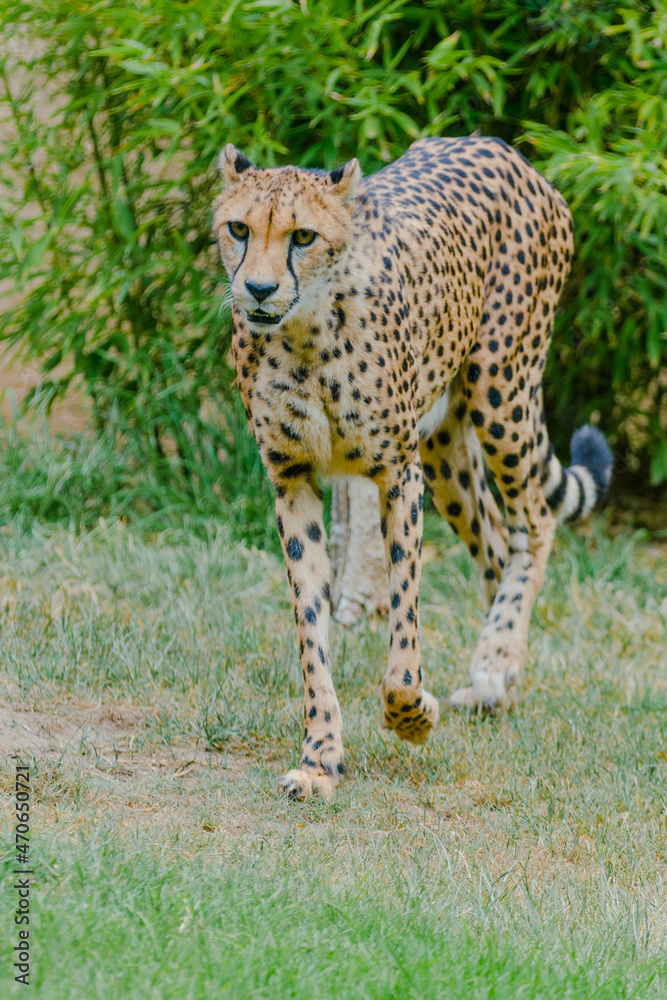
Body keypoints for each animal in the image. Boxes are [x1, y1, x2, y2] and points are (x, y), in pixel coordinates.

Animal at [212, 135, 612, 800]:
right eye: (238, 228)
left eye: (302, 236)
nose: (259, 290)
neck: (305, 338)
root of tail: (500, 148)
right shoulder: (291, 480)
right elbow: (311, 631)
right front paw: (320, 757)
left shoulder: (398, 472)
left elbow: (402, 624)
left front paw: (413, 715)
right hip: (446, 445)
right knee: (496, 542)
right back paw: (493, 682)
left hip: (501, 391)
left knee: (535, 521)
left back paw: (498, 657)